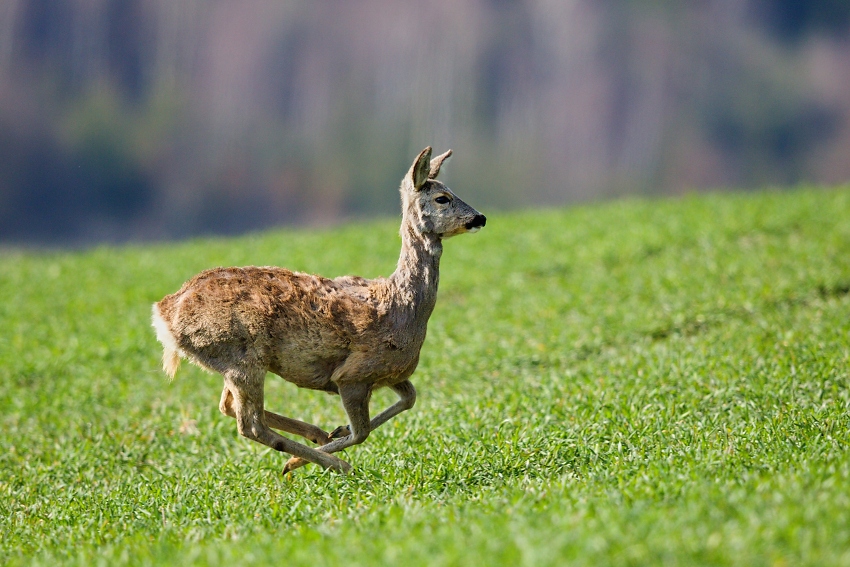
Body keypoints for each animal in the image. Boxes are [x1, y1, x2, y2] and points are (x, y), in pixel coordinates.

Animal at [151, 147, 485, 474]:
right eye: (442, 198)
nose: (480, 217)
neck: (400, 308)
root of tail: (164, 314)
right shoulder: (353, 375)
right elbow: (362, 432)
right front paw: (310, 457)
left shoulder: (391, 373)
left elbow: (410, 399)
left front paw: (335, 432)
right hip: (241, 357)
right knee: (250, 425)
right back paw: (326, 463)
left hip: (234, 363)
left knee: (228, 407)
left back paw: (317, 435)